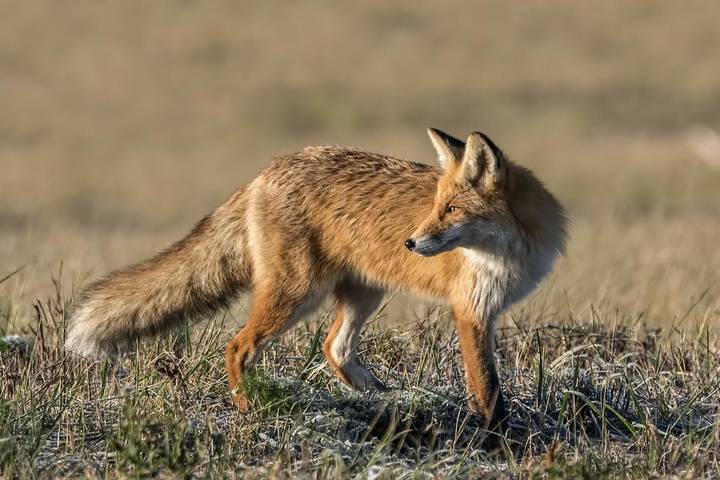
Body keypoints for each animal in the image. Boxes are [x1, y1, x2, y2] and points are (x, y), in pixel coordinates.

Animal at [65, 128, 567, 429]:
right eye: (436, 207)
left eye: (452, 209)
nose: (411, 242)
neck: (510, 251)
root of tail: (264, 173)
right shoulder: (471, 310)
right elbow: (486, 387)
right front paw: (495, 436)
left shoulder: (489, 311)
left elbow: (489, 383)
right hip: (299, 293)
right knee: (238, 346)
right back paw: (247, 409)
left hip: (363, 293)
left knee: (334, 347)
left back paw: (385, 398)